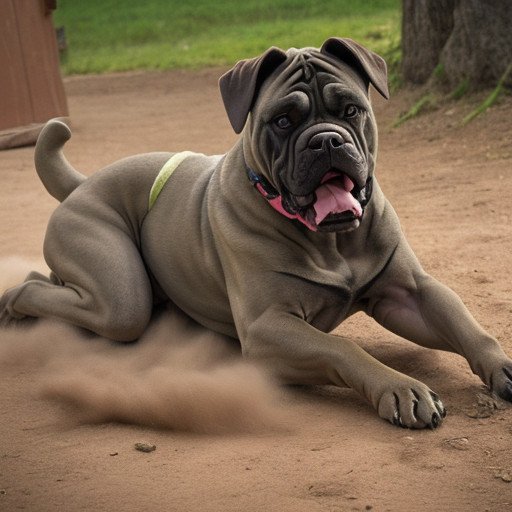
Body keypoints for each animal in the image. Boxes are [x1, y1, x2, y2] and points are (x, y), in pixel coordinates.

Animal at [2, 37, 510, 428]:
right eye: (282, 120)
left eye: (351, 109)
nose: (327, 139)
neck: (332, 240)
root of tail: (83, 183)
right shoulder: (269, 327)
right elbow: (342, 347)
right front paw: (400, 387)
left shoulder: (410, 293)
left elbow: (468, 327)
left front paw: (503, 365)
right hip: (118, 294)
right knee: (73, 297)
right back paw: (14, 305)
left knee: (57, 283)